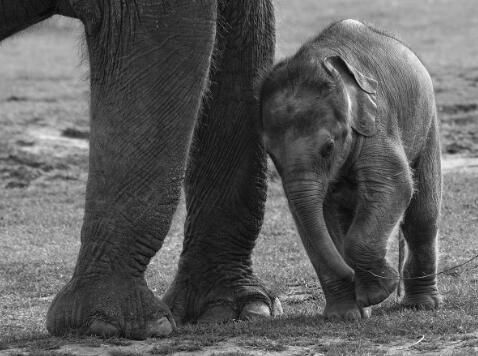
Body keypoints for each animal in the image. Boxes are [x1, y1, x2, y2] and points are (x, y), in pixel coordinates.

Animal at [260, 19, 442, 320]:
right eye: (271, 154)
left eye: (328, 147)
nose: (350, 277)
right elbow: (316, 216)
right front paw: (345, 314)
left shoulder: (376, 122)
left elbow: (393, 185)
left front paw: (376, 293)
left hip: (427, 125)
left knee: (421, 216)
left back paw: (421, 305)